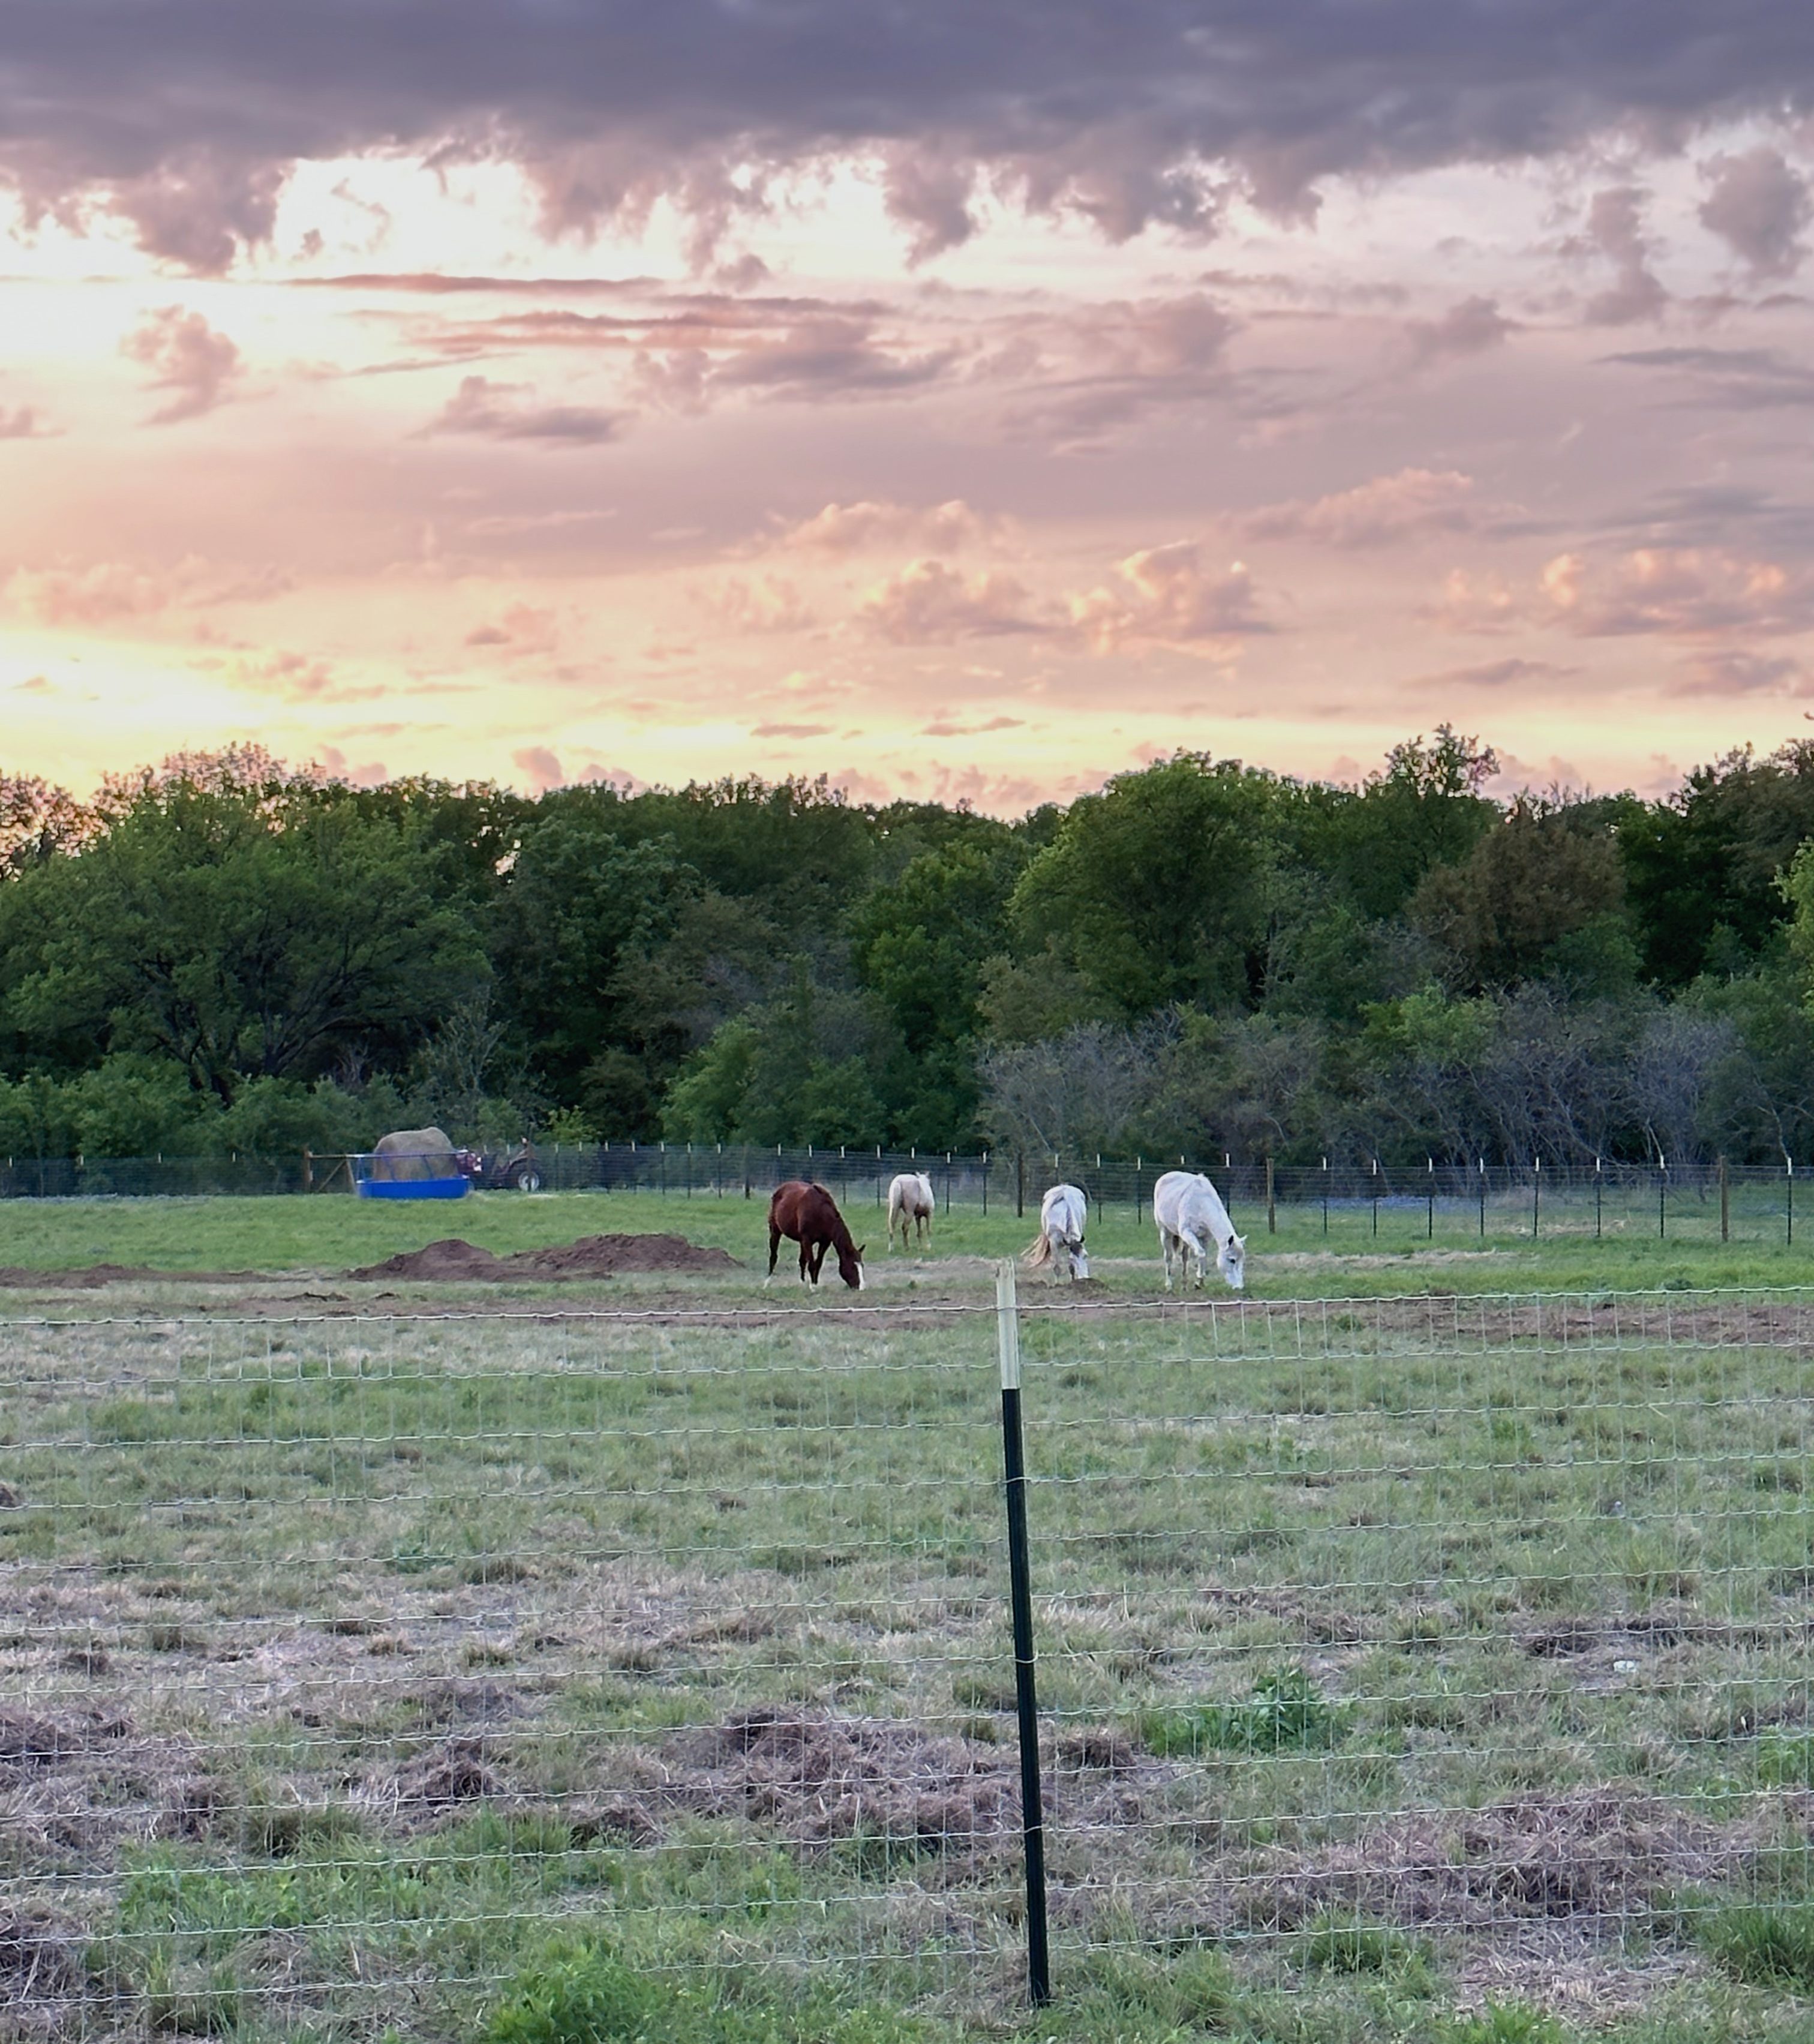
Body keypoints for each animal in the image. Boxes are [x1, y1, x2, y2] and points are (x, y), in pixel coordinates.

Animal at [766, 1181, 866, 1291]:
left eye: (862, 1266)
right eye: (852, 1266)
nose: (861, 1287)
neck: (820, 1213)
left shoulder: (825, 1242)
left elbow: (818, 1263)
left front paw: (815, 1284)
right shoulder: (807, 1240)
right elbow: (812, 1264)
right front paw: (813, 1288)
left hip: (801, 1241)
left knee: (802, 1261)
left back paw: (802, 1282)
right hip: (775, 1231)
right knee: (773, 1257)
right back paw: (767, 1282)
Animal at [886, 1171, 935, 1252]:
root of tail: (898, 1182)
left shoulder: (918, 1216)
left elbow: (919, 1232)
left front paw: (920, 1247)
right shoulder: (929, 1214)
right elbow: (928, 1231)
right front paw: (929, 1247)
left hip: (894, 1208)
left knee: (892, 1225)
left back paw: (891, 1249)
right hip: (910, 1212)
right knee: (905, 1227)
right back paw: (906, 1247)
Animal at [1023, 1183, 1089, 1281]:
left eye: (1085, 1256)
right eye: (1073, 1259)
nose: (1084, 1278)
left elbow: (1071, 1268)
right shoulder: (1054, 1243)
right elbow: (1057, 1268)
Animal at [1153, 1170, 1246, 1291]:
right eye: (1232, 1260)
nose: (1239, 1287)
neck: (1201, 1202)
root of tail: (1165, 1177)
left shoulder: (1205, 1238)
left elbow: (1204, 1255)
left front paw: (1199, 1283)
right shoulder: (1187, 1232)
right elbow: (1201, 1254)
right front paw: (1199, 1280)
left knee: (1184, 1258)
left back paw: (1184, 1285)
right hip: (1166, 1232)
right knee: (1168, 1257)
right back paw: (1169, 1286)